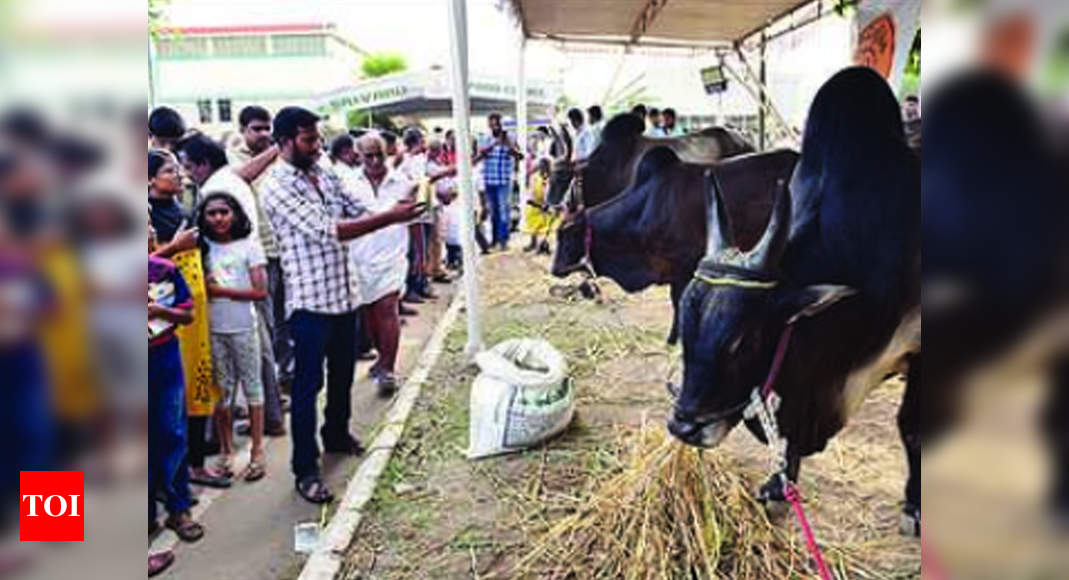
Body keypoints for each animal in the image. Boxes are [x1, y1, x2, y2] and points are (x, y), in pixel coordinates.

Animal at [551, 146, 795, 346]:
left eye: (566, 235)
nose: (554, 269)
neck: (645, 210)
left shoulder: (686, 267)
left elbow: (678, 301)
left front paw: (675, 339)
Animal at [667, 65, 919, 534]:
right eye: (685, 333)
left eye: (742, 341)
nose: (684, 427)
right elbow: (785, 443)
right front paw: (778, 487)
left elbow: (910, 425)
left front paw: (914, 506)